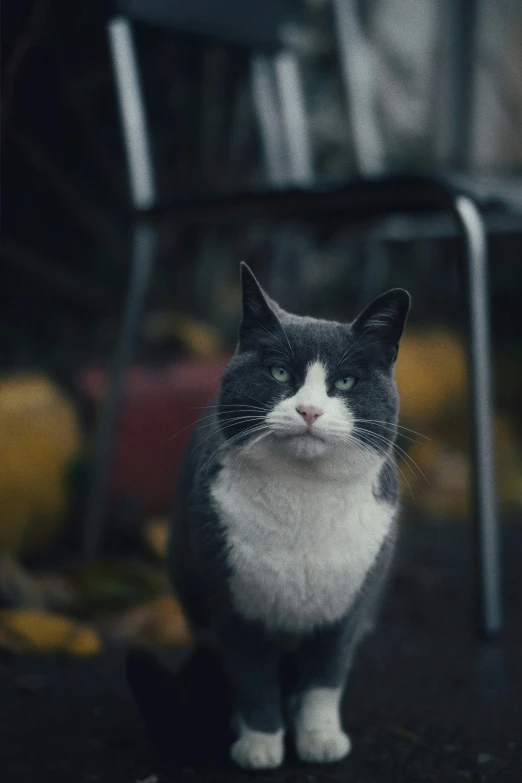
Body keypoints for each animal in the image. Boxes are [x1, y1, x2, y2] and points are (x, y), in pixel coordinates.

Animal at [166, 264, 406, 772]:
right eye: (279, 372)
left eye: (345, 383)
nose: (309, 410)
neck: (303, 500)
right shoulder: (231, 603)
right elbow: (251, 678)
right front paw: (259, 744)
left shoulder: (349, 603)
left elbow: (326, 677)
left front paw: (320, 739)